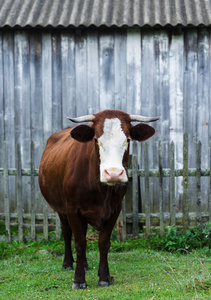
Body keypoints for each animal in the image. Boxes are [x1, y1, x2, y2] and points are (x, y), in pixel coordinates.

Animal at [38, 109, 159, 288]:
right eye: (96, 139)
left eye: (128, 139)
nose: (114, 173)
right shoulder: (72, 209)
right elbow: (79, 243)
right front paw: (79, 280)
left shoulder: (114, 210)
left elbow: (103, 243)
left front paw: (104, 277)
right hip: (60, 209)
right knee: (67, 233)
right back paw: (68, 263)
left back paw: (85, 265)